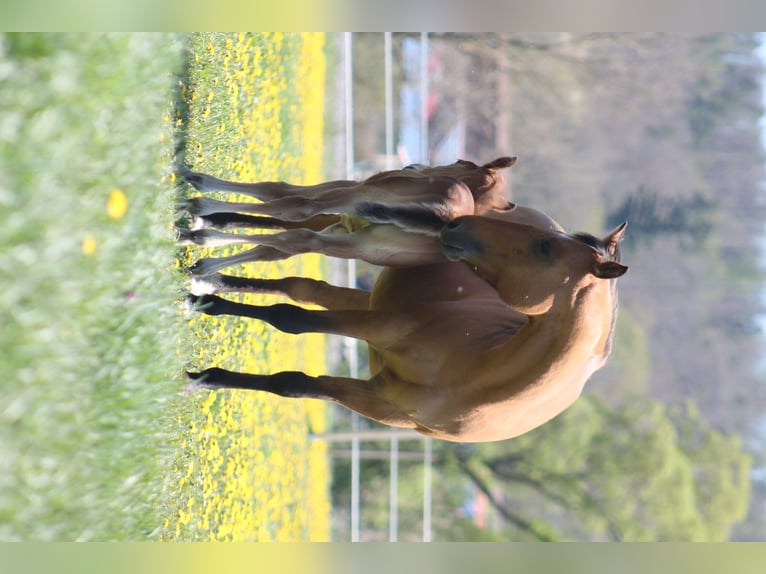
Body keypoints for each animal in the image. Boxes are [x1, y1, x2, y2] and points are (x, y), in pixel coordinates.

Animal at [181, 159, 627, 443]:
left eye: (545, 248)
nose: (459, 229)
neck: (477, 374)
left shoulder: (376, 359)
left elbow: (290, 344)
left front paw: (204, 375)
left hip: (361, 277)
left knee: (292, 244)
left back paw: (203, 264)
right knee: (293, 253)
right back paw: (205, 264)